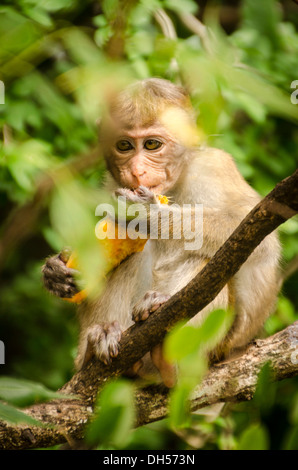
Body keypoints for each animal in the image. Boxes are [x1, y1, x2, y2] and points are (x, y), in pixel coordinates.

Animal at [41, 76, 280, 386]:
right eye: (124, 146)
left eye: (152, 145)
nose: (137, 171)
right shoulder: (110, 187)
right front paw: (55, 271)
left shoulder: (214, 168)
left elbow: (260, 235)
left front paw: (151, 216)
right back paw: (96, 349)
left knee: (203, 261)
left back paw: (168, 356)